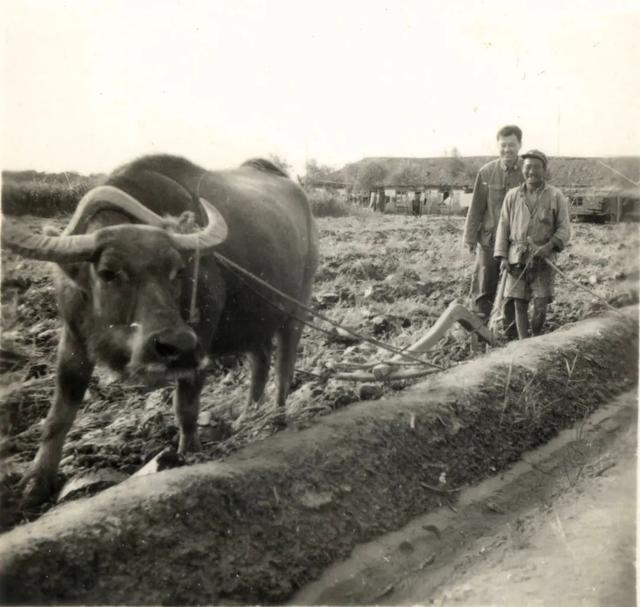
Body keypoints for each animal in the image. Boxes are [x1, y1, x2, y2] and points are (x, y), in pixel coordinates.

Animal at [1, 154, 318, 506]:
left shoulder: (199, 342)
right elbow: (59, 415)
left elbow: (186, 405)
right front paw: (36, 481)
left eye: (177, 270)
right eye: (108, 272)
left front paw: (189, 451)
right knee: (260, 360)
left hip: (296, 307)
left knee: (284, 364)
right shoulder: (73, 340)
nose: (174, 342)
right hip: (253, 321)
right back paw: (247, 417)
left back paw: (276, 416)